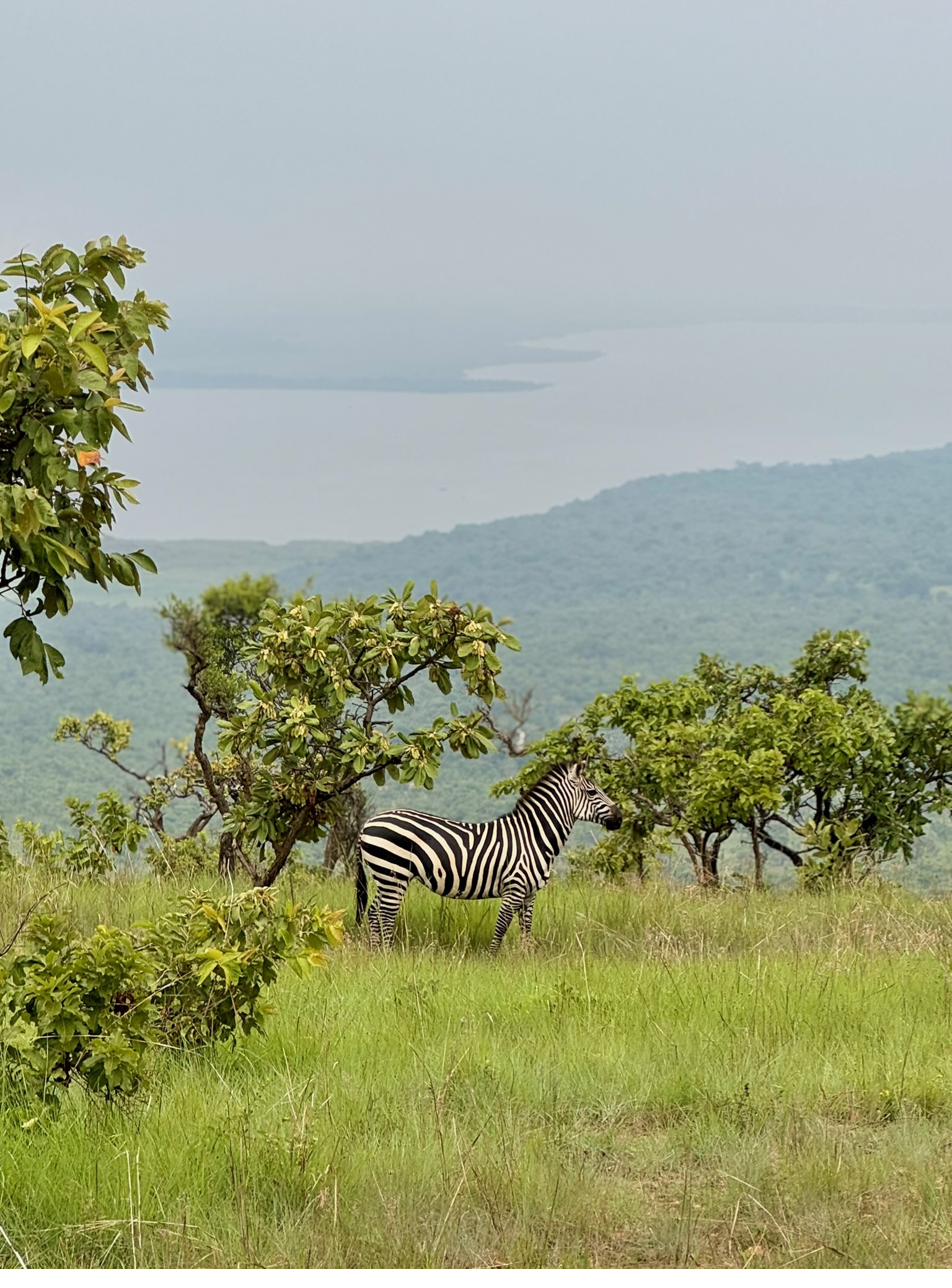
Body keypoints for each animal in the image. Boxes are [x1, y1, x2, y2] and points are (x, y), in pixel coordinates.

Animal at [355, 762, 623, 951]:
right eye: (592, 792)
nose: (620, 818)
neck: (533, 836)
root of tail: (367, 824)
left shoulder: (529, 892)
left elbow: (526, 928)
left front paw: (527, 960)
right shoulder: (514, 887)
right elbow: (502, 926)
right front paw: (493, 960)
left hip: (386, 877)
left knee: (374, 913)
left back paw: (376, 954)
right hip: (393, 873)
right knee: (385, 914)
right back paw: (388, 956)